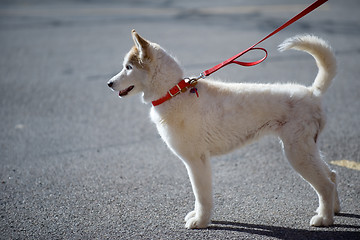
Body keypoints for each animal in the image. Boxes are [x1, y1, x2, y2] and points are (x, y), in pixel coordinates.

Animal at [107, 30, 340, 229]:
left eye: (128, 67)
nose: (109, 83)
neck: (174, 93)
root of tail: (313, 93)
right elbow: (200, 196)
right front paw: (197, 217)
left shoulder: (197, 161)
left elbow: (202, 196)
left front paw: (200, 222)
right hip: (306, 149)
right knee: (332, 175)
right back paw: (334, 210)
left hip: (297, 153)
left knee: (325, 185)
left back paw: (324, 219)